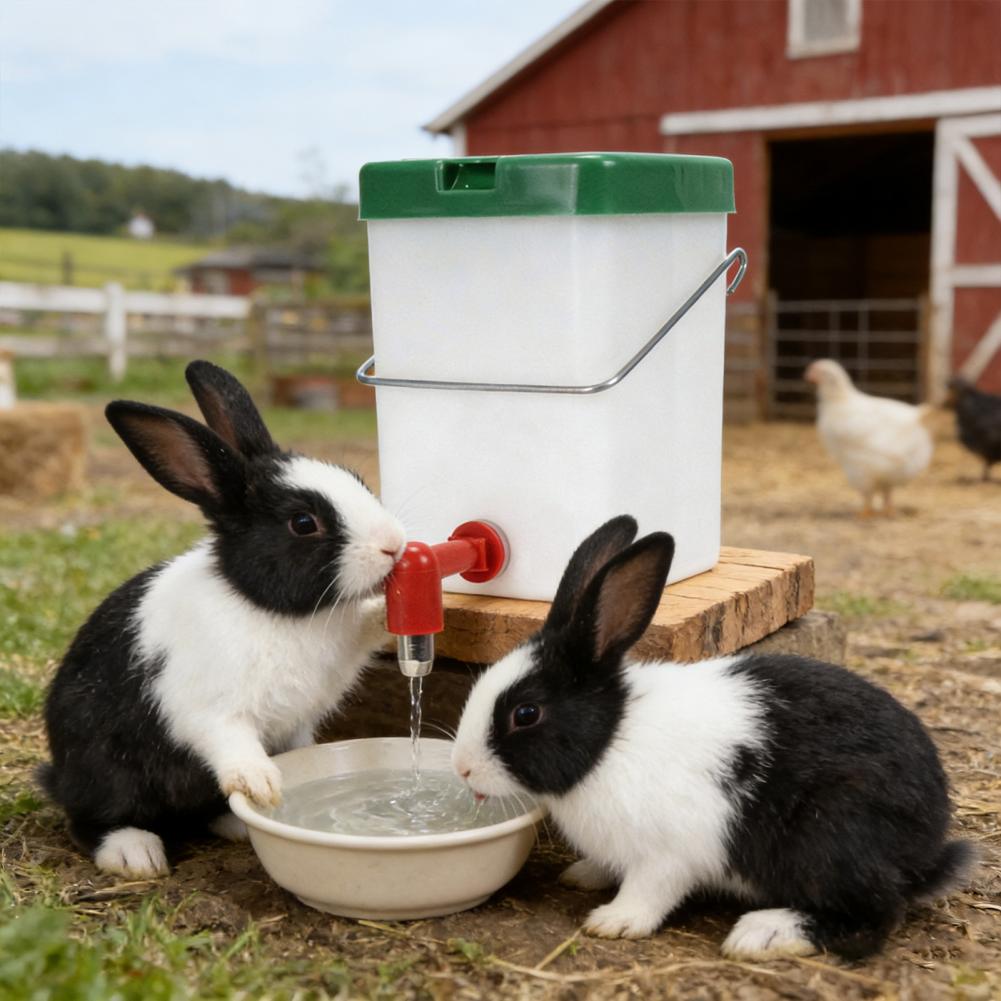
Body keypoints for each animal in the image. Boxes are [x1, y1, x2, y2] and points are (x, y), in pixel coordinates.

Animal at [38, 360, 405, 878]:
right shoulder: (207, 708)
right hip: (103, 773)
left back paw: (234, 824)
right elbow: (228, 740)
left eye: (357, 479)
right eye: (303, 523)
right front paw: (262, 782)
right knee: (92, 820)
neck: (267, 607)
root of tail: (57, 774)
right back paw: (134, 852)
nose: (394, 545)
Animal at [451, 516, 974, 960]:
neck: (612, 739)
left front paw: (615, 921)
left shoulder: (667, 855)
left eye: (525, 713)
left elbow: (649, 891)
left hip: (831, 835)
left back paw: (763, 933)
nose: (463, 768)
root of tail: (925, 847)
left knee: (873, 917)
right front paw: (585, 875)